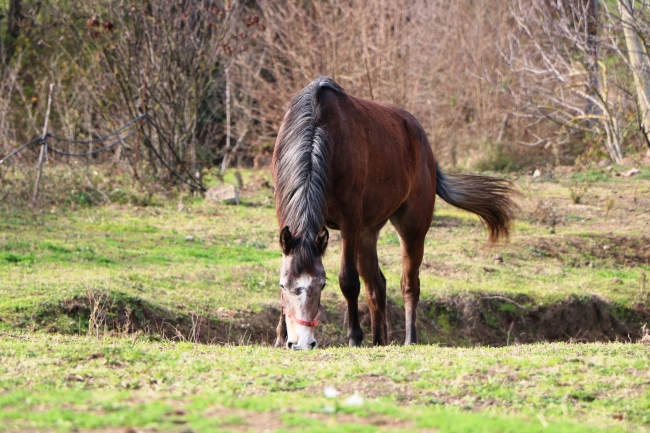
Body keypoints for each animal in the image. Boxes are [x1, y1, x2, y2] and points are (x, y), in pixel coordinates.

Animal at [270, 76, 512, 350]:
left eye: (321, 285)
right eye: (284, 285)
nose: (302, 343)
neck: (318, 132)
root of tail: (425, 145)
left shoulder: (349, 222)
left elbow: (348, 281)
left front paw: (354, 337)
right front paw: (280, 337)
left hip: (411, 229)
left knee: (409, 285)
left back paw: (409, 339)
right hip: (367, 233)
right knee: (377, 285)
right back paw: (379, 340)